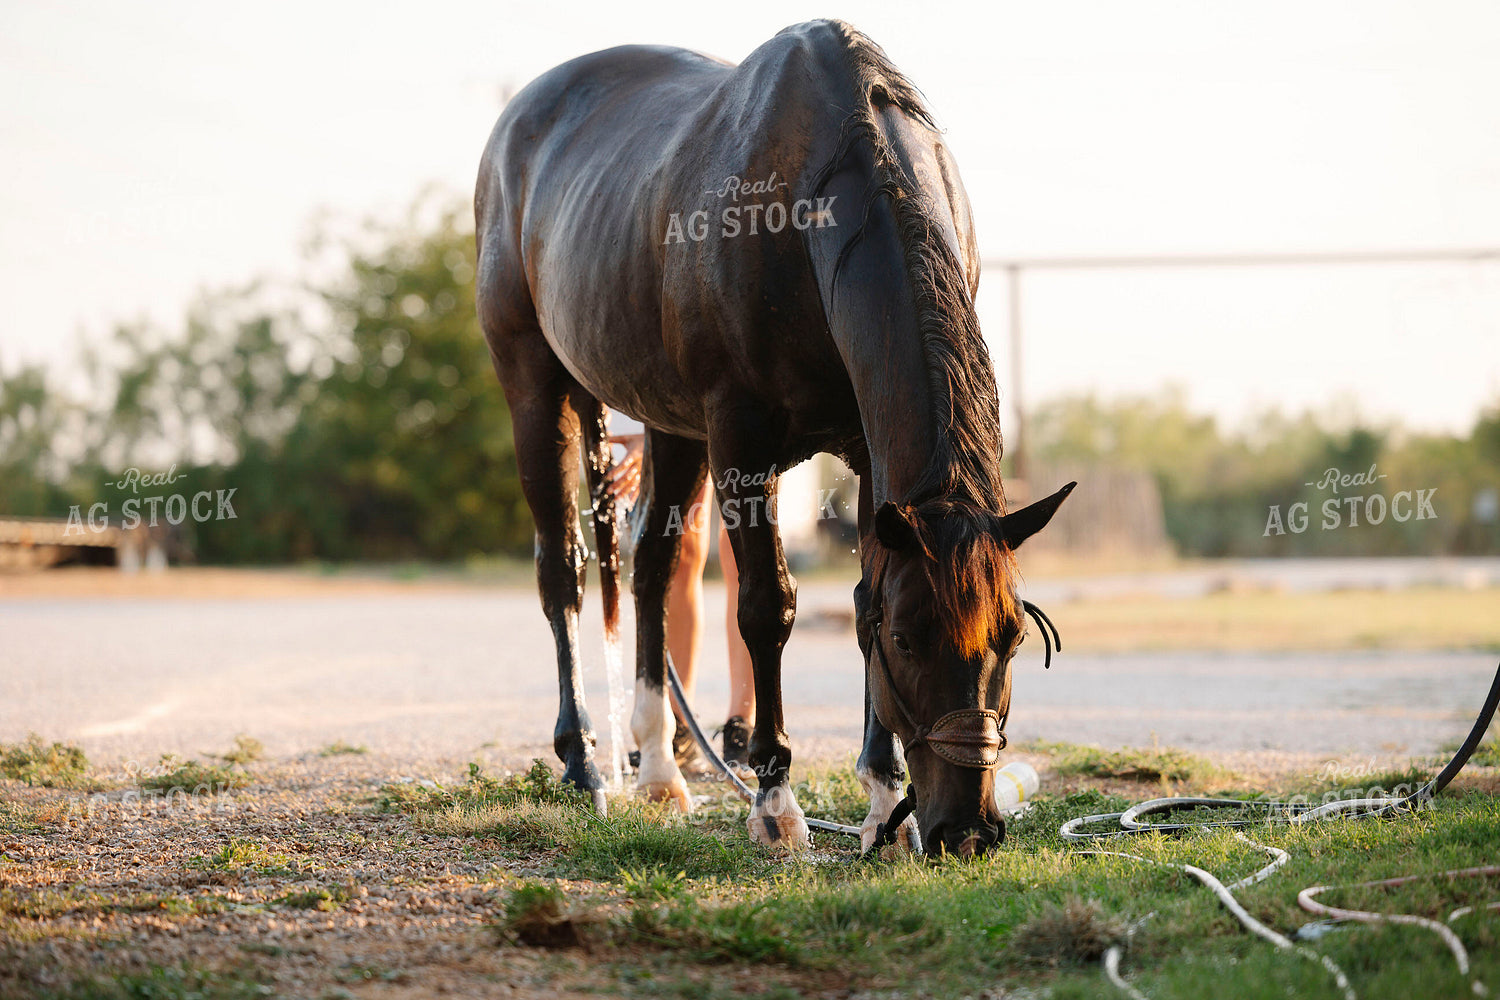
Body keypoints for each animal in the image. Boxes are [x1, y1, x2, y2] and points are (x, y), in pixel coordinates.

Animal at [475, 19, 1073, 856]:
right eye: (911, 641)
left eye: (1014, 638)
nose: (967, 831)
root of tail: (517, 121)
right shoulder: (740, 438)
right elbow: (767, 608)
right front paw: (775, 801)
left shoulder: (866, 455)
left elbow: (861, 595)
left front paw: (879, 800)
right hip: (535, 385)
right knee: (561, 571)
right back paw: (586, 762)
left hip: (669, 424)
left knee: (652, 567)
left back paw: (659, 769)